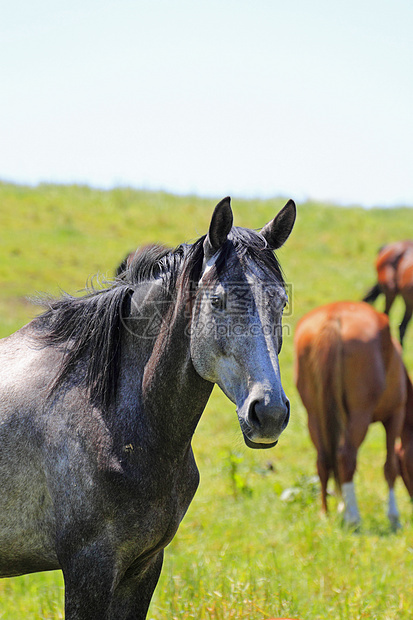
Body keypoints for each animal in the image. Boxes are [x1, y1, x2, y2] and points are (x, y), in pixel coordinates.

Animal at [292, 300, 412, 528]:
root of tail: (333, 318)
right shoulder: (395, 415)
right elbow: (390, 466)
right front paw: (394, 517)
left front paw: (342, 505)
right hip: (360, 415)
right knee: (345, 455)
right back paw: (354, 518)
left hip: (314, 415)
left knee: (324, 459)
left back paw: (325, 512)